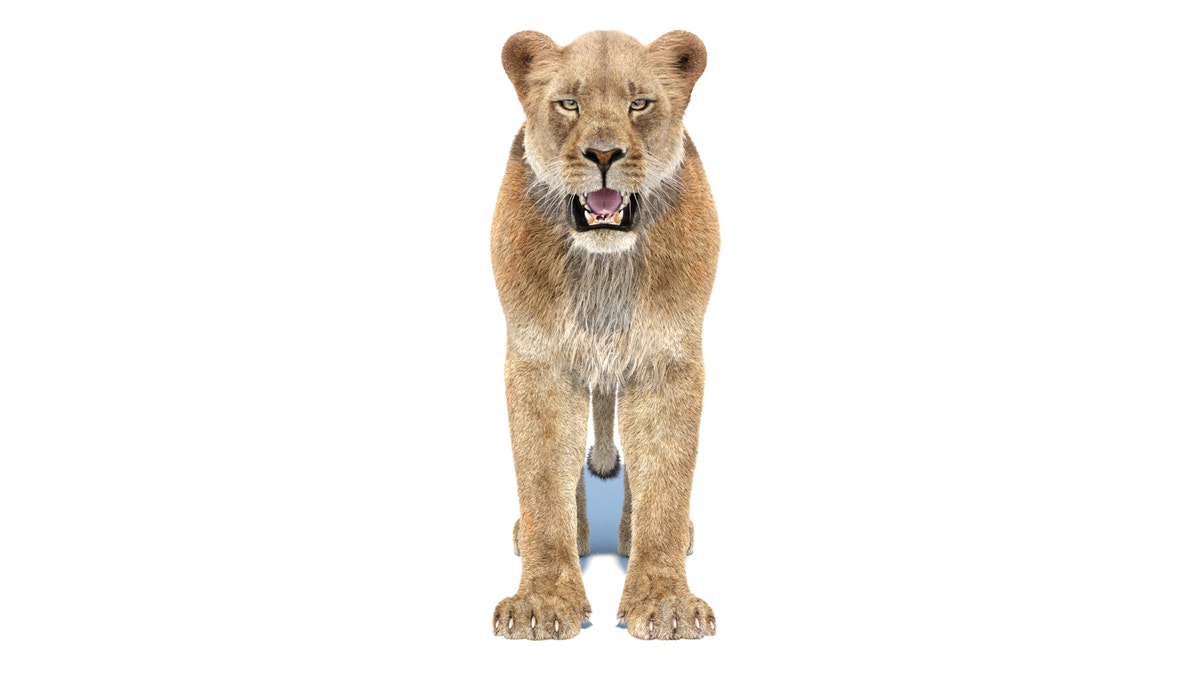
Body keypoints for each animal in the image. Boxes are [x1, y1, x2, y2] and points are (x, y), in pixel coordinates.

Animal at [491, 30, 719, 640]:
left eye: (639, 104)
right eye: (569, 104)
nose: (603, 155)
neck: (603, 266)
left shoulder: (666, 361)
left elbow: (665, 480)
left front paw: (664, 603)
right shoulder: (540, 361)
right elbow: (543, 478)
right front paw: (541, 603)